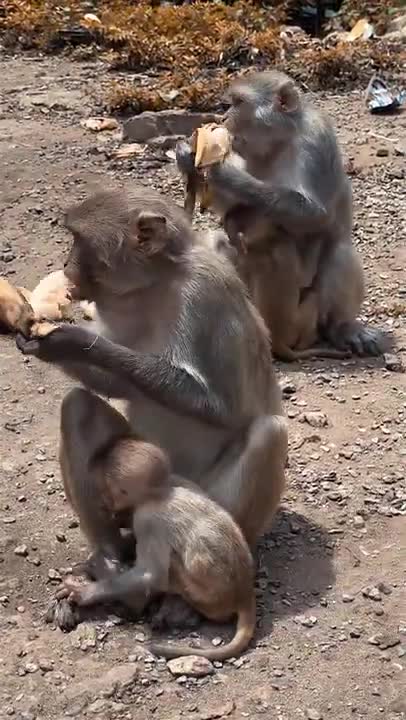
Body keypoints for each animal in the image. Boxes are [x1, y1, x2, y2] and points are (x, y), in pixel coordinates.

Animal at [15, 186, 288, 558]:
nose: (66, 264)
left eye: (79, 240)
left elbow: (219, 406)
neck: (158, 283)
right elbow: (116, 385)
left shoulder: (204, 294)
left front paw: (74, 341)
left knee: (269, 433)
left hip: (200, 493)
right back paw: (111, 553)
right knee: (77, 409)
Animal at [55, 387, 257, 660]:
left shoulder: (146, 520)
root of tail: (244, 593)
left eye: (108, 491)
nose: (107, 504)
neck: (162, 491)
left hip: (203, 597)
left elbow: (151, 574)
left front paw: (87, 593)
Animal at [176, 70, 385, 358]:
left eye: (238, 103)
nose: (223, 118)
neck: (281, 140)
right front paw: (186, 157)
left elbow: (314, 214)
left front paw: (225, 173)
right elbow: (232, 206)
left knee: (339, 252)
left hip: (309, 316)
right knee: (216, 242)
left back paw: (342, 328)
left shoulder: (315, 143)